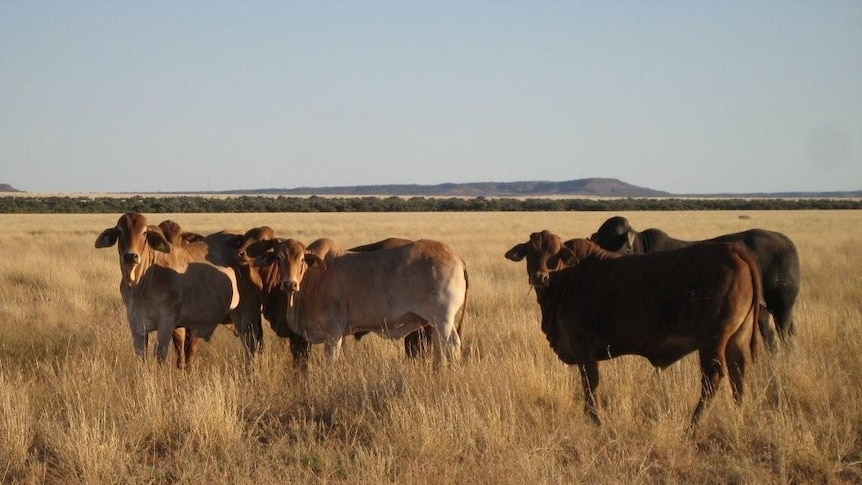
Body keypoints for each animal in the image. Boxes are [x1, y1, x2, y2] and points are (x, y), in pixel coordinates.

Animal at [95, 212, 243, 364]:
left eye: (144, 232)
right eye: (119, 231)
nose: (131, 256)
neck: (138, 284)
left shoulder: (167, 322)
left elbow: (161, 354)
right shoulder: (135, 323)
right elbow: (141, 355)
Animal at [246, 235, 470, 366]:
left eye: (301, 259)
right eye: (278, 258)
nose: (289, 284)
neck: (313, 278)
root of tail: (457, 257)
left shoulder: (334, 332)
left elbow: (331, 361)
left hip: (442, 319)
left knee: (452, 345)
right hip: (434, 323)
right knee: (441, 348)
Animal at [506, 234, 764, 428]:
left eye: (554, 254)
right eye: (530, 252)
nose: (540, 277)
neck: (569, 276)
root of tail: (732, 250)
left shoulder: (584, 349)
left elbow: (591, 384)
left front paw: (596, 420)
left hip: (712, 341)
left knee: (713, 378)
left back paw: (693, 425)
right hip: (736, 340)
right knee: (738, 375)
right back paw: (737, 416)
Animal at [592, 216, 804, 348]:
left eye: (608, 239)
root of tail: (785, 240)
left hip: (783, 306)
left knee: (787, 335)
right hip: (763, 309)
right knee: (771, 338)